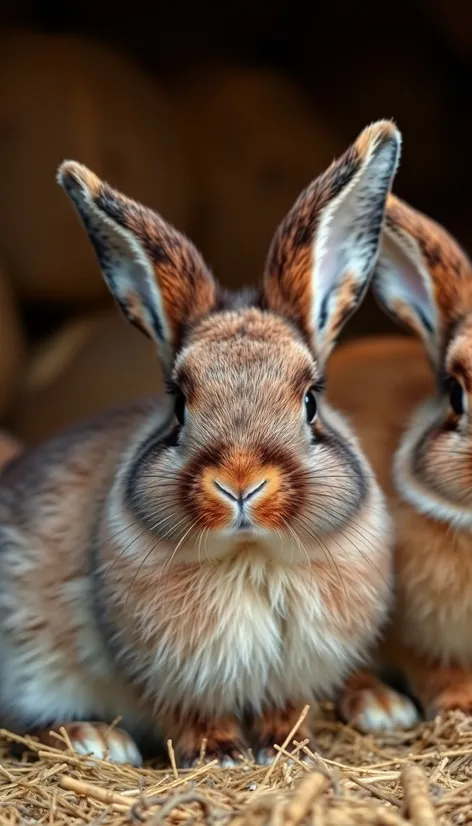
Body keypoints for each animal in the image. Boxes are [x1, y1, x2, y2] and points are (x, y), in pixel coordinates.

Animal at [0, 120, 400, 768]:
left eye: (311, 401)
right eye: (179, 405)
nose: (241, 483)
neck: (250, 554)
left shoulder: (291, 673)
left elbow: (286, 709)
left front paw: (289, 750)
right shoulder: (158, 672)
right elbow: (190, 714)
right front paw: (221, 755)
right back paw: (94, 739)